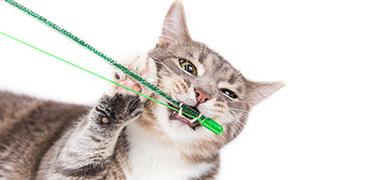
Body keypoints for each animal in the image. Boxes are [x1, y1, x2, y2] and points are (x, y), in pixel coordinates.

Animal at [0, 0, 284, 179]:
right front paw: (130, 85)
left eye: (229, 93)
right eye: (188, 66)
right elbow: (79, 156)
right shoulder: (59, 167)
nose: (203, 94)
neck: (162, 151)